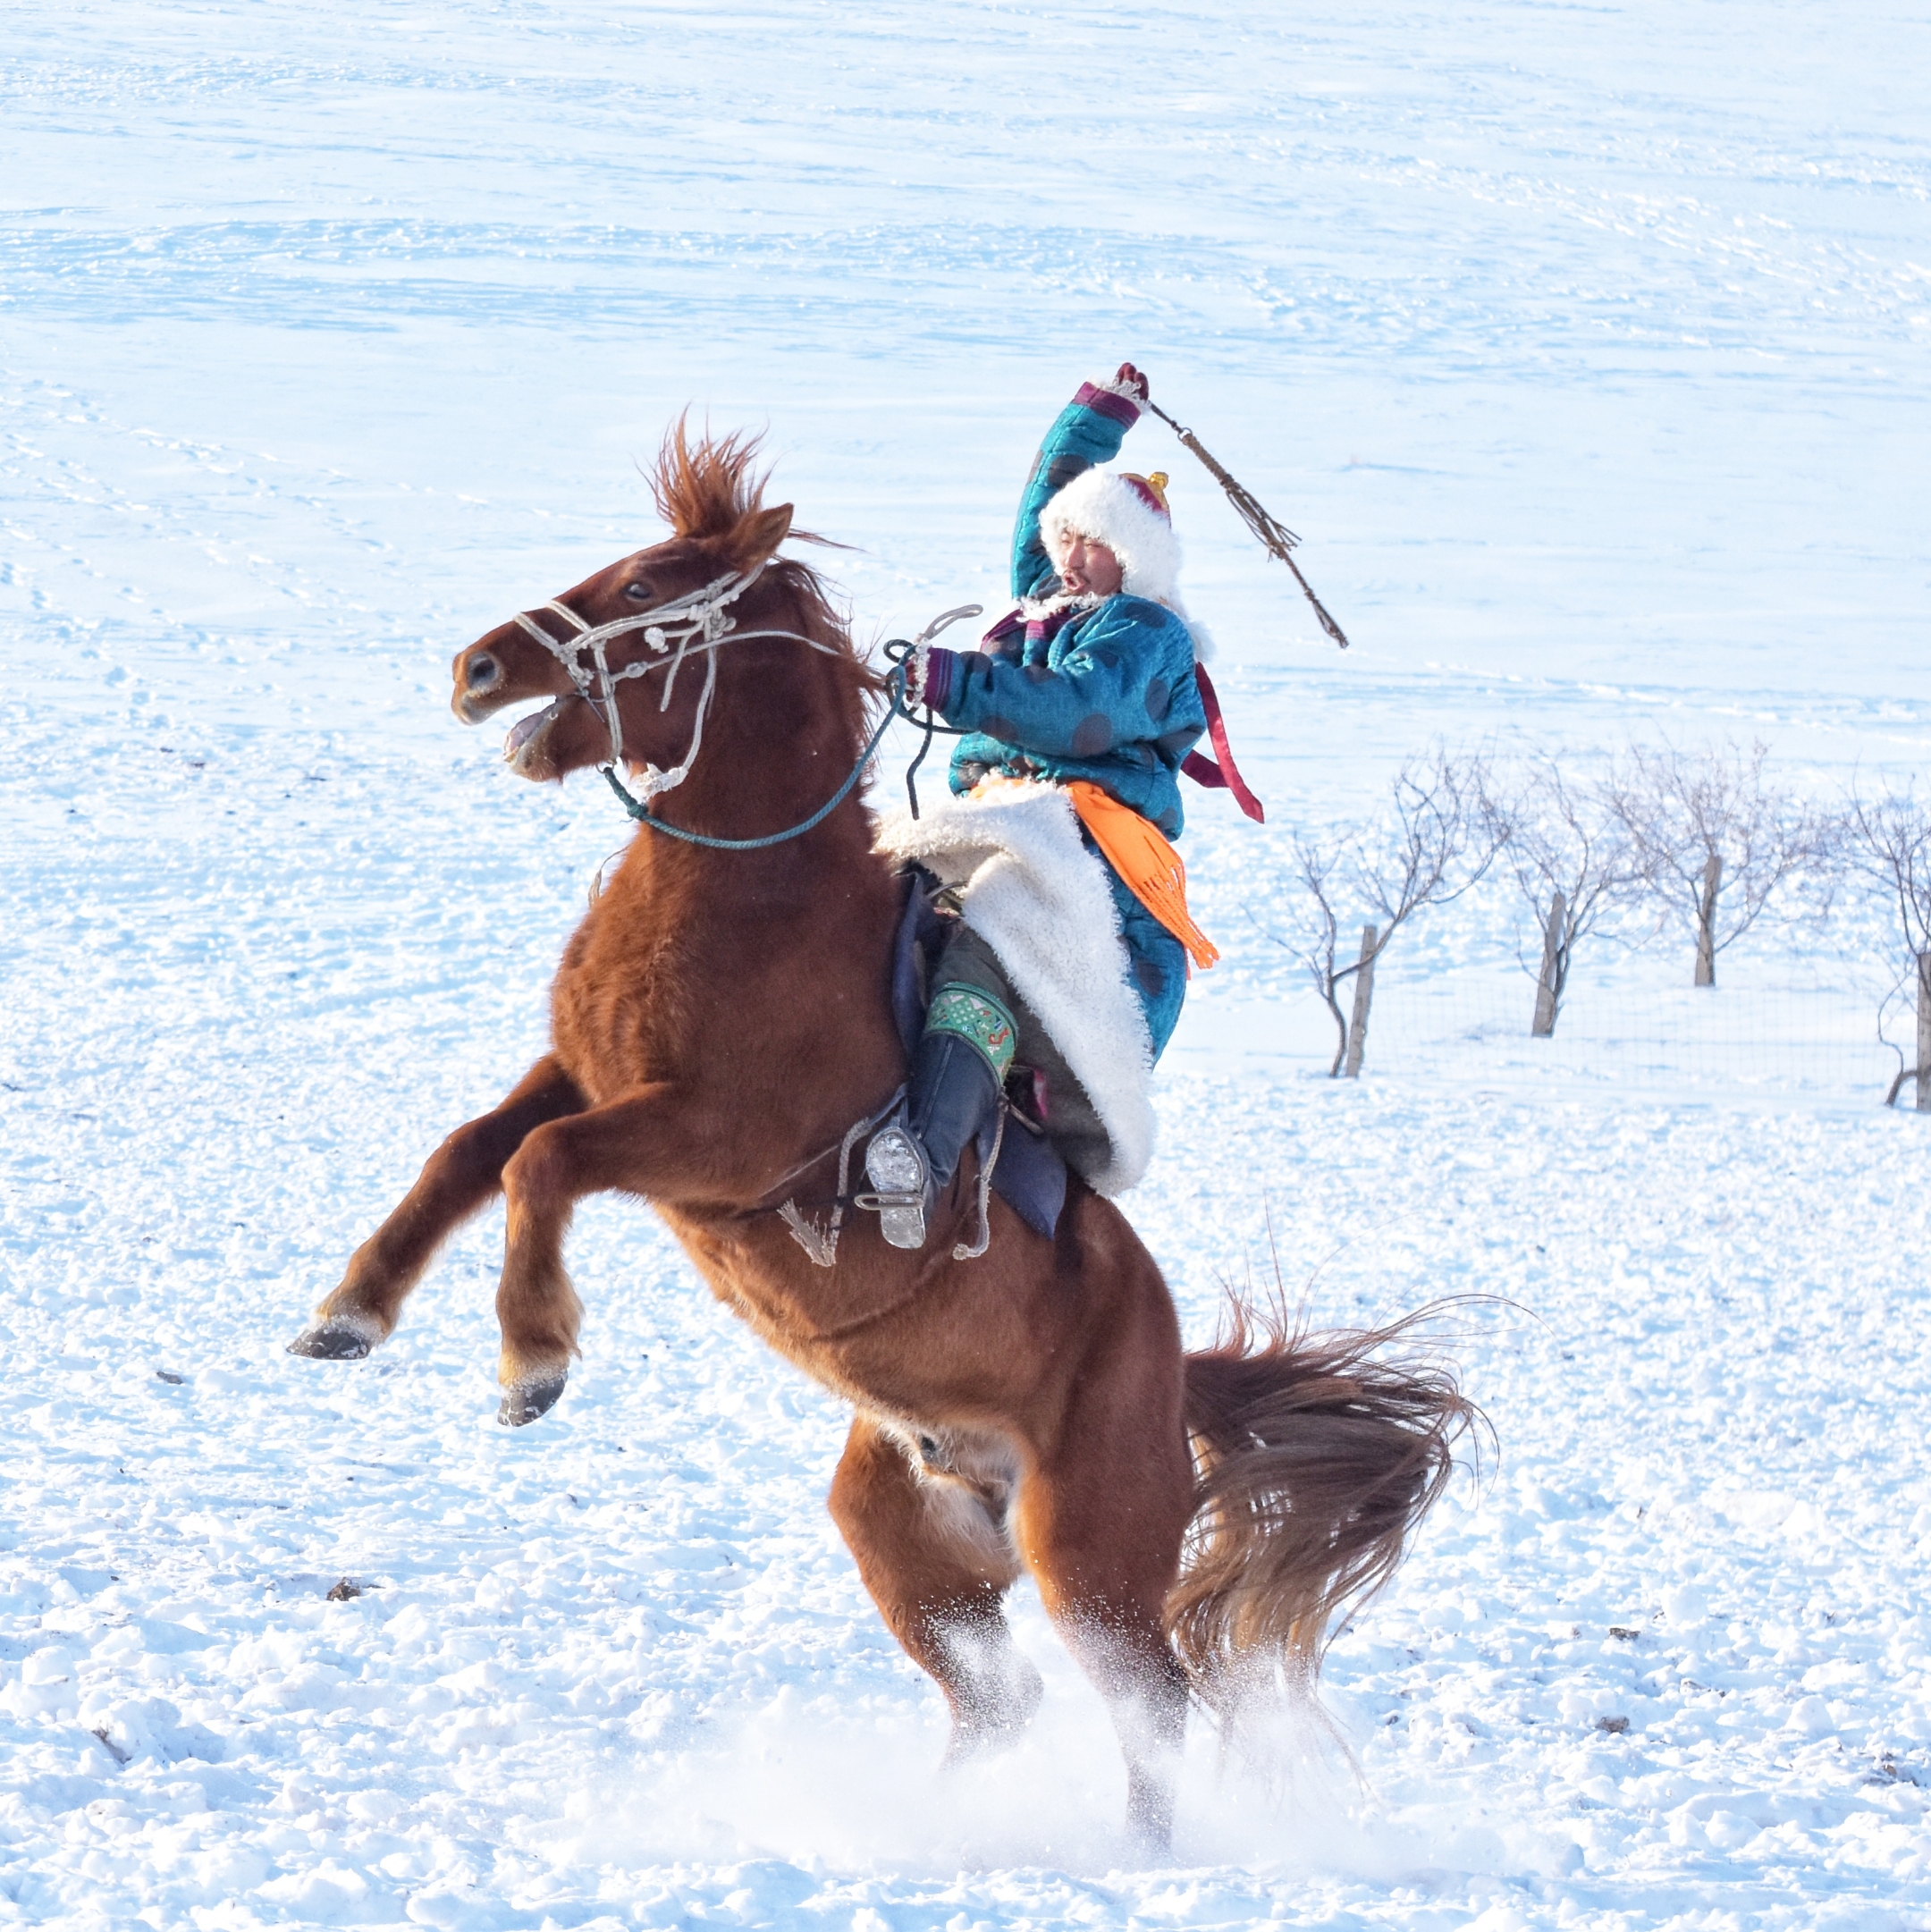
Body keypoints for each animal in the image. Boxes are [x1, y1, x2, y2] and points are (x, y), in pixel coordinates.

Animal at [289, 423, 1474, 1851]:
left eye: (646, 589)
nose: (475, 670)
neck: (750, 899)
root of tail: (1176, 1370)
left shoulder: (717, 1142)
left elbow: (542, 1163)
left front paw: (532, 1362)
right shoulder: (580, 1070)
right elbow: (474, 1151)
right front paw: (349, 1312)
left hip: (1090, 1553)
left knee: (1152, 1701)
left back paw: (1140, 1852)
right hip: (902, 1530)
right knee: (999, 1696)